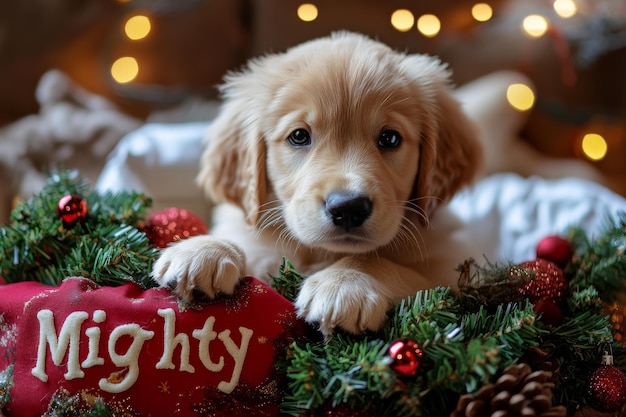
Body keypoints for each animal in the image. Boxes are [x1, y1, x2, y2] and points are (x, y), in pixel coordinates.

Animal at [150, 31, 478, 334]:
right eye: (299, 136)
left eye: (390, 138)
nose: (348, 208)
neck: (321, 252)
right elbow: (247, 243)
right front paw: (203, 251)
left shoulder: (449, 276)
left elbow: (379, 262)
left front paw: (346, 283)